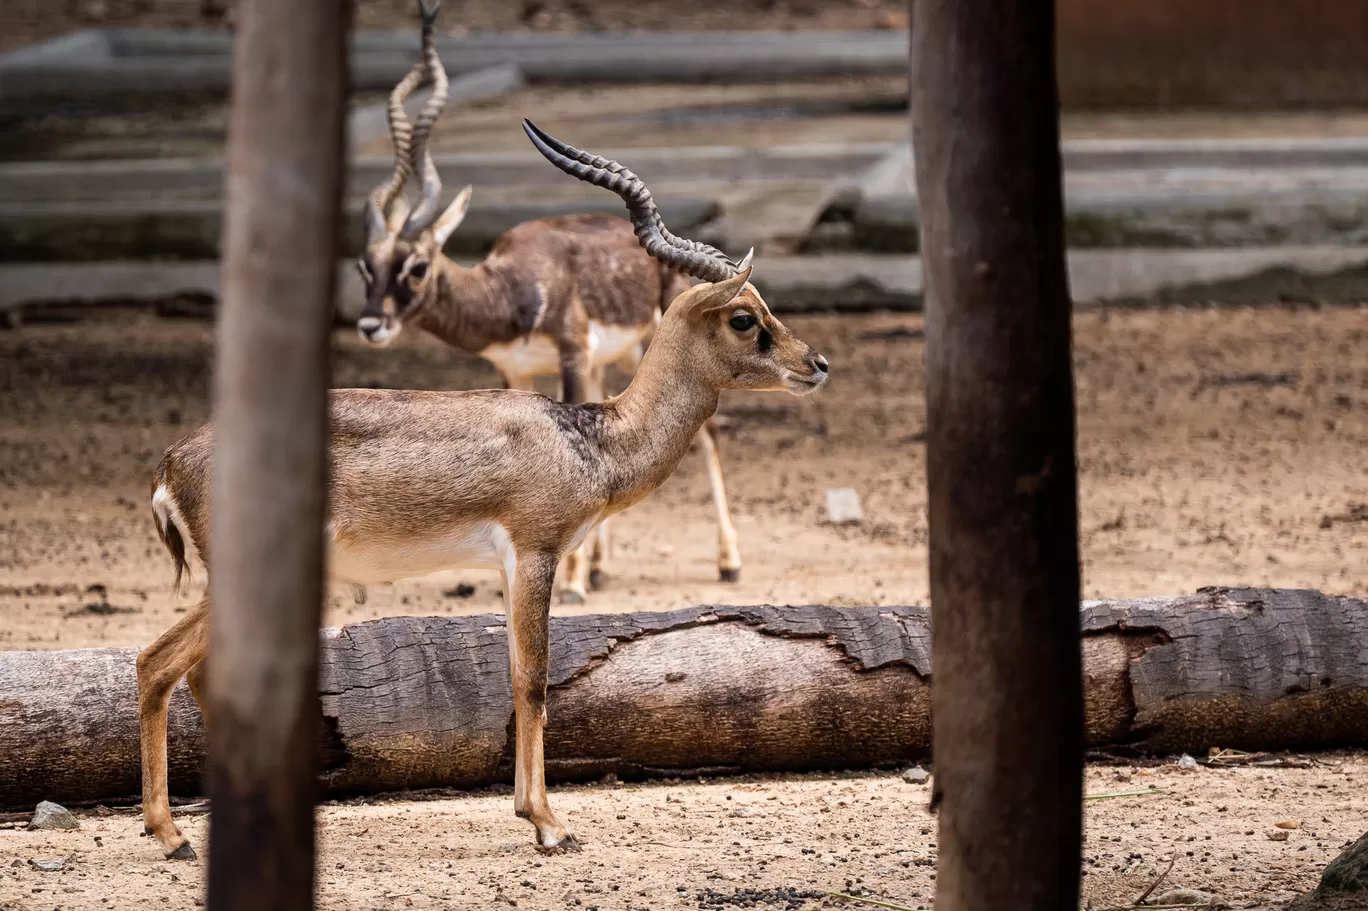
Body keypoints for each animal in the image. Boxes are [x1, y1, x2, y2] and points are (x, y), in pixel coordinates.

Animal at [138, 122, 826, 859]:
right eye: (745, 317)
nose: (815, 363)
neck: (589, 439)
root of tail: (172, 462)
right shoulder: (535, 552)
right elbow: (534, 681)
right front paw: (549, 823)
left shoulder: (506, 565)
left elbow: (514, 678)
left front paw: (535, 814)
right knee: (158, 663)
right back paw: (172, 835)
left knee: (189, 670)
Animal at [347, 5, 744, 601]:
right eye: (364, 265)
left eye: (416, 266)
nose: (372, 324)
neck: (512, 285)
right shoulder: (514, 371)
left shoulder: (571, 353)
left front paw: (572, 581)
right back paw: (602, 566)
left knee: (712, 437)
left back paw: (727, 562)